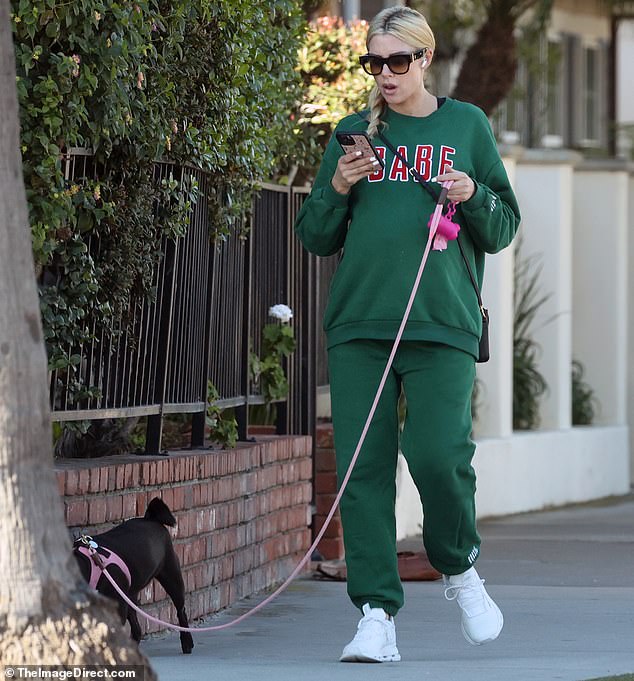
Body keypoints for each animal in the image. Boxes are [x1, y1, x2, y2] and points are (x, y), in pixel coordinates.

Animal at [73, 496, 193, 652]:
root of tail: (150, 518)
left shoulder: (117, 606)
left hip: (171, 577)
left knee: (181, 611)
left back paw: (187, 642)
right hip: (129, 595)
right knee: (136, 627)